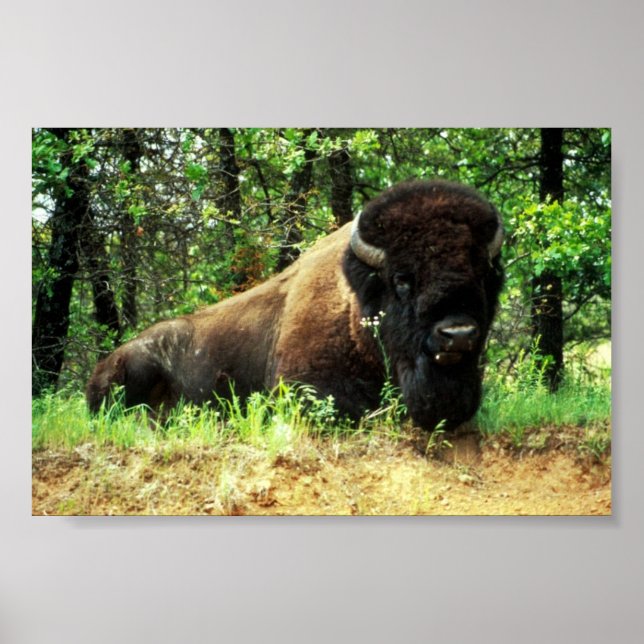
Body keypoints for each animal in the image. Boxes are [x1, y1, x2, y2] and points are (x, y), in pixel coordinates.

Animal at [86, 180, 504, 431]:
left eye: (482, 273)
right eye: (402, 279)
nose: (457, 334)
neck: (355, 308)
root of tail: (104, 364)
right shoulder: (304, 387)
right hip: (135, 369)